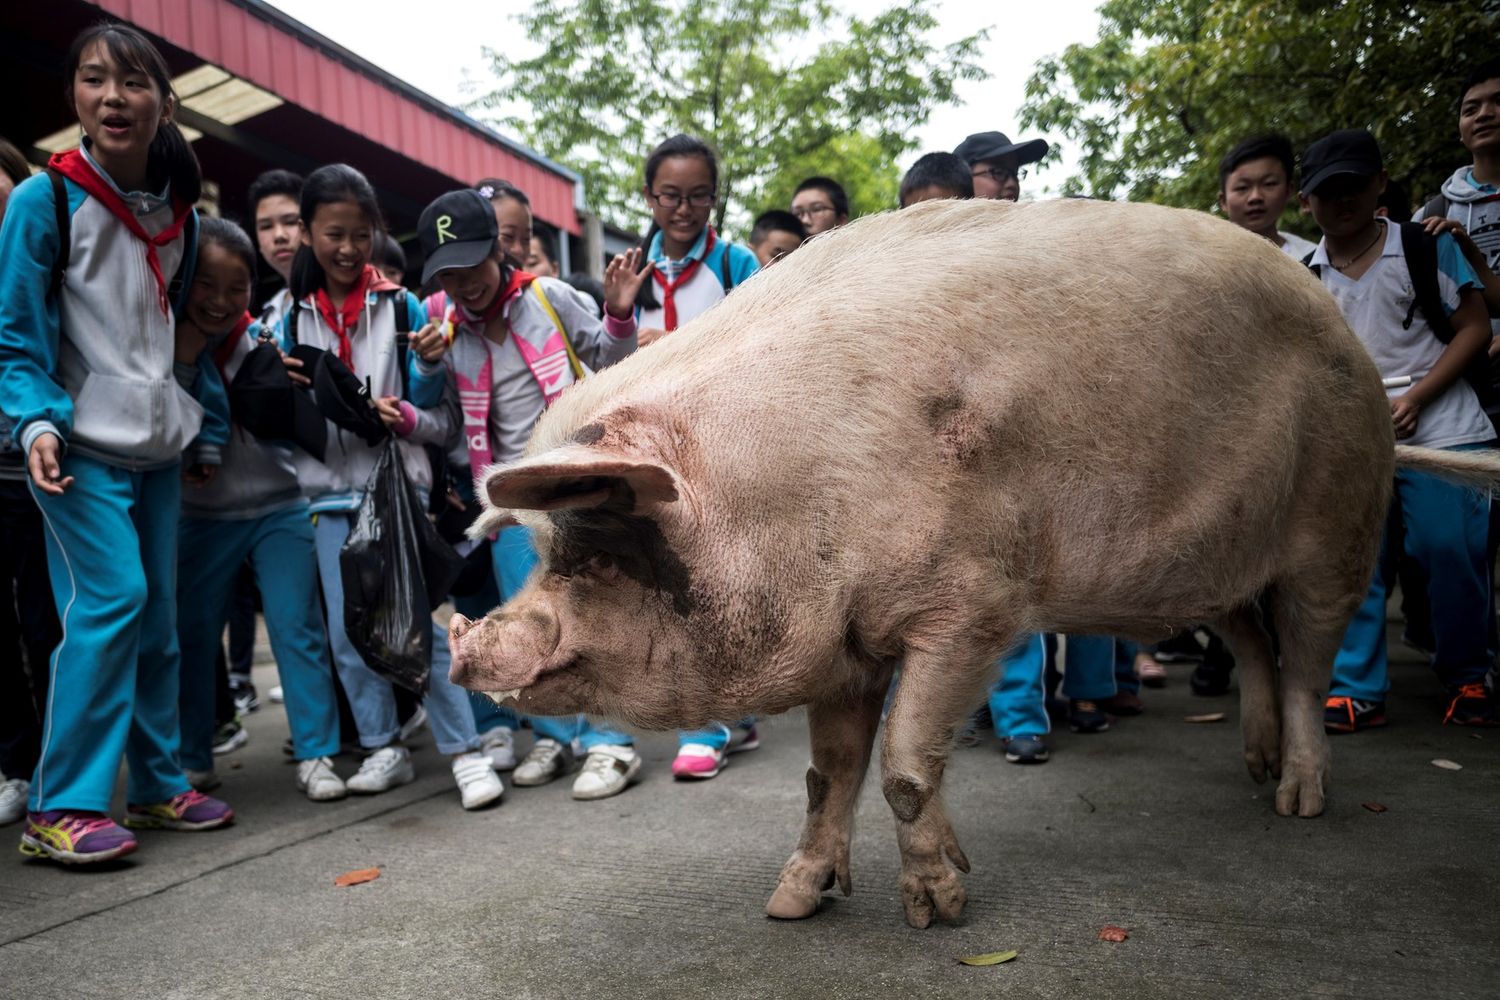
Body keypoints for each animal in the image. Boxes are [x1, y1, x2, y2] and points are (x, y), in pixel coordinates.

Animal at [447, 197, 1500, 929]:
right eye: (552, 550)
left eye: (604, 552)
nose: (469, 643)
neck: (781, 496)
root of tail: (1351, 342)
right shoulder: (844, 639)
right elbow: (828, 773)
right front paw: (791, 904)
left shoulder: (975, 607)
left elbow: (907, 764)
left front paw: (940, 913)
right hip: (1217, 559)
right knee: (1250, 641)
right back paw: (1254, 768)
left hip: (1338, 519)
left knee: (1312, 658)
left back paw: (1297, 803)